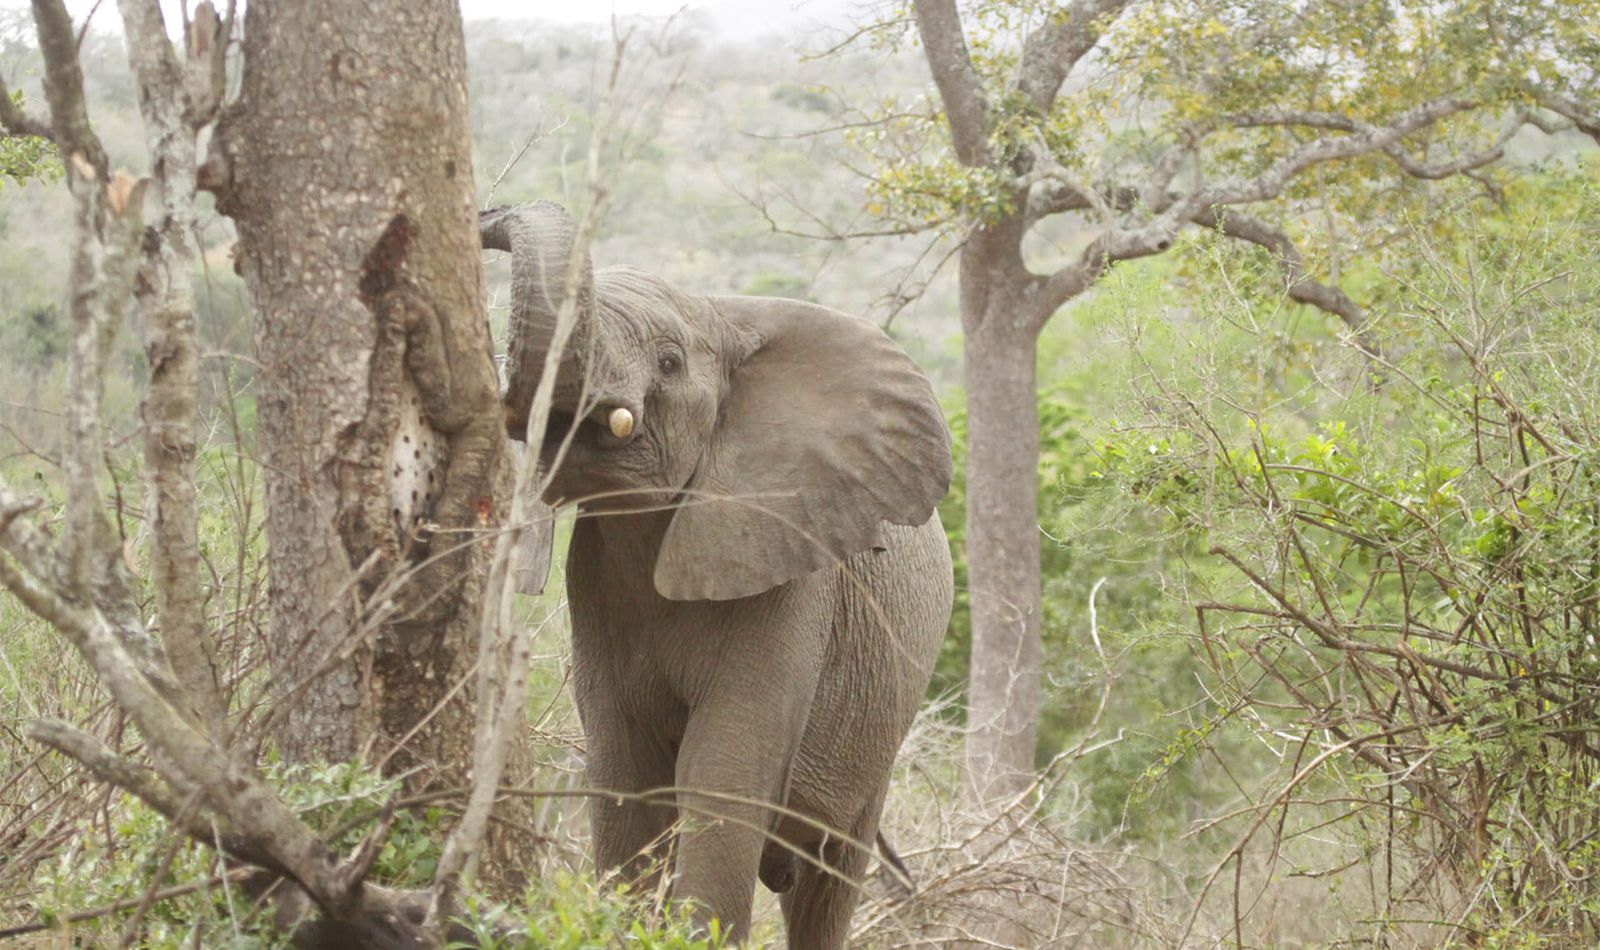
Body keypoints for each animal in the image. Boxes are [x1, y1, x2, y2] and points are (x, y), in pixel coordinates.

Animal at [480, 203, 953, 940]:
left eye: (670, 362)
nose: (489, 215)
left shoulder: (790, 579)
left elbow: (722, 775)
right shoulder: (596, 586)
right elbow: (626, 779)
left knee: (827, 881)